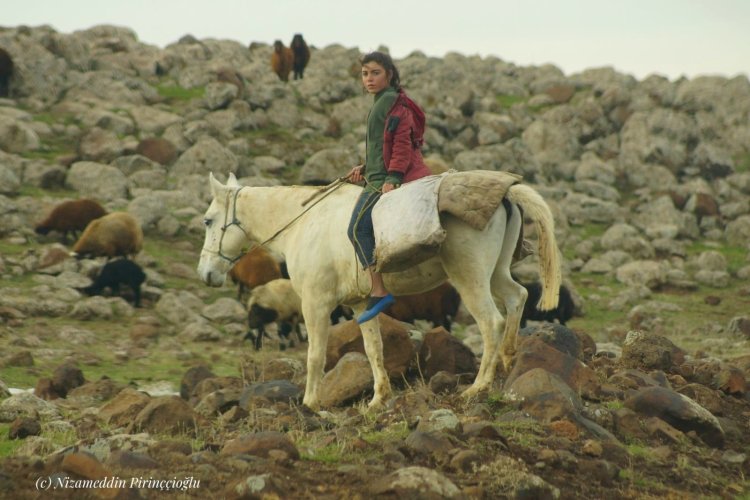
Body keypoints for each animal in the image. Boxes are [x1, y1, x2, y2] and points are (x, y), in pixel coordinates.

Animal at [197, 172, 560, 410]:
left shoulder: (315, 303)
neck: (303, 222)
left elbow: (315, 354)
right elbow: (374, 350)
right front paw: (378, 398)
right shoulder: (361, 305)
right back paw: (508, 359)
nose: (206, 273)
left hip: (470, 279)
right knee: (517, 297)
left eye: (208, 220)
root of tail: (505, 195)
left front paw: (311, 402)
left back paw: (478, 386)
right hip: (495, 274)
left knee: (491, 323)